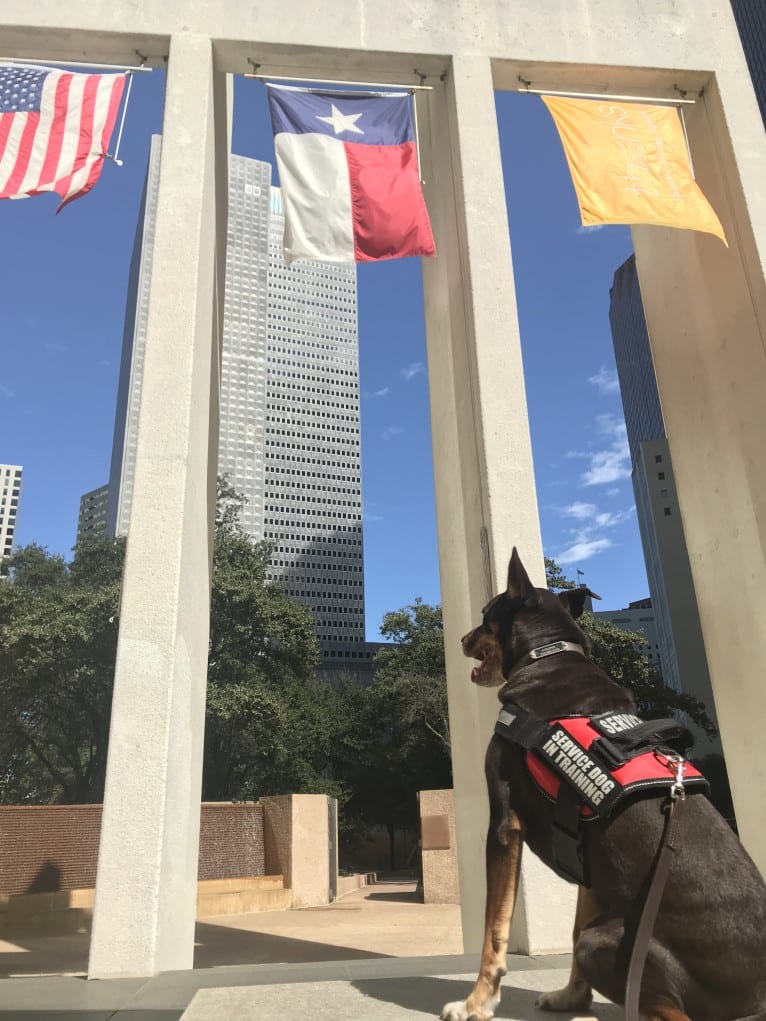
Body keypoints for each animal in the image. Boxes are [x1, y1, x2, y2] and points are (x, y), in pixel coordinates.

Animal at [441, 551, 766, 1021]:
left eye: (486, 614)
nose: (463, 637)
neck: (547, 656)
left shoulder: (504, 823)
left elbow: (493, 932)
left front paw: (477, 1002)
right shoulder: (585, 853)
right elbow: (573, 928)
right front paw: (571, 997)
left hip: (613, 942)